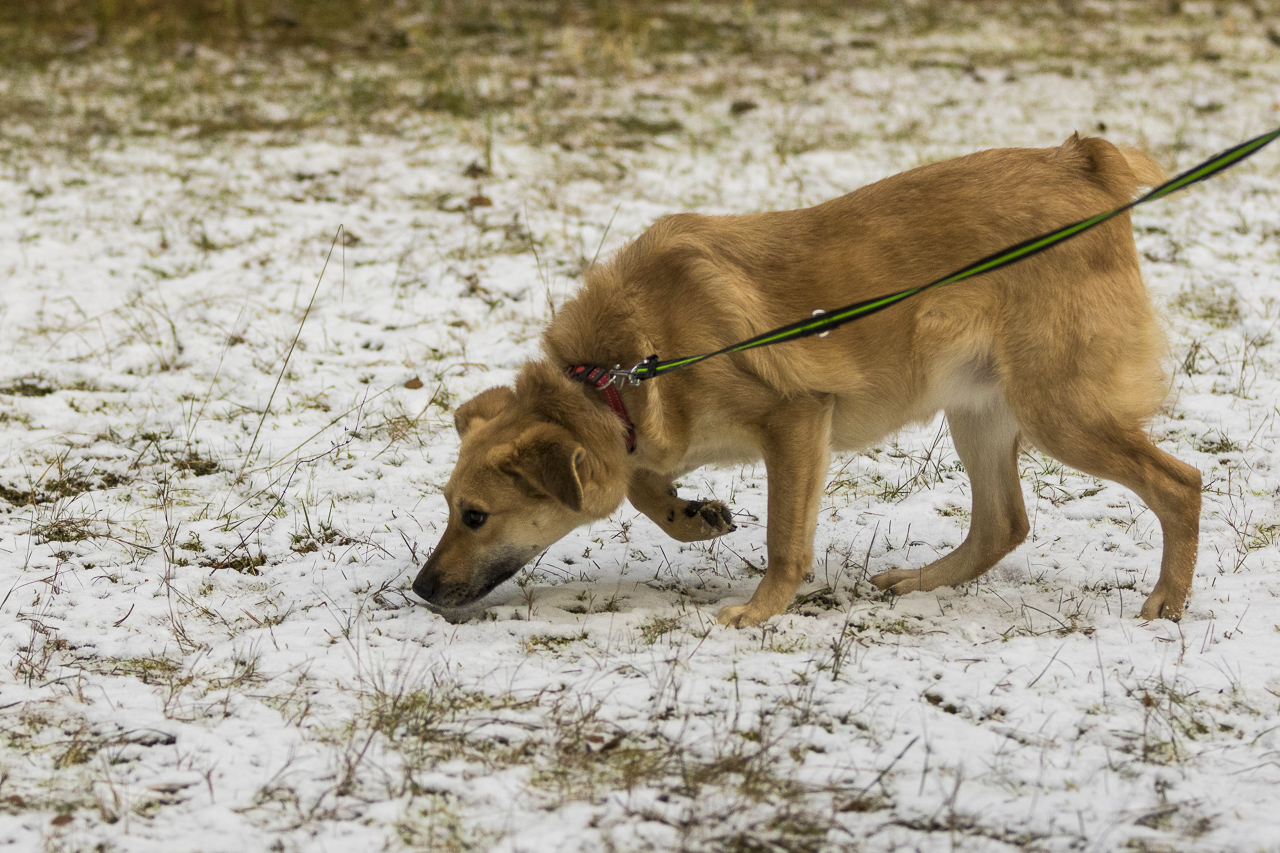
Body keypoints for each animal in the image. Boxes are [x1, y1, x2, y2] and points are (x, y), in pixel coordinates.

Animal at [412, 134, 1201, 627]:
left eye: (474, 516)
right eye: (448, 506)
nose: (419, 588)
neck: (618, 372)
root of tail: (1082, 161)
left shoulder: (794, 423)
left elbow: (783, 538)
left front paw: (761, 610)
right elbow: (640, 484)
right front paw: (690, 516)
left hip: (1058, 412)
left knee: (1180, 484)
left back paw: (1168, 599)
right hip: (977, 410)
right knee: (1002, 523)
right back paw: (919, 583)